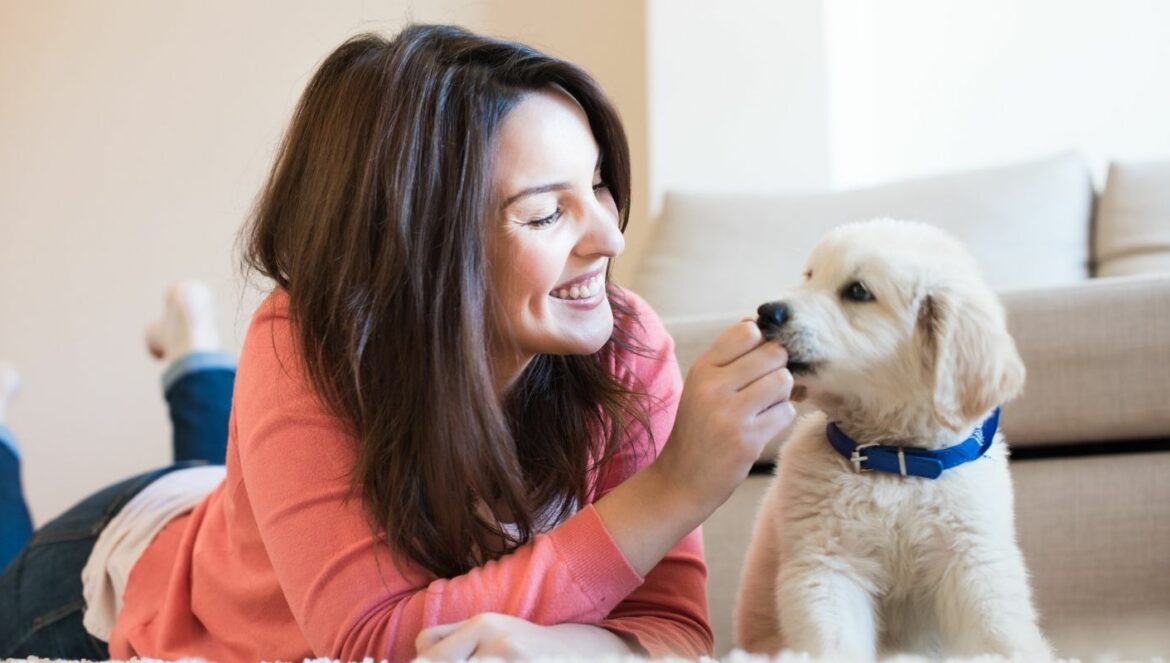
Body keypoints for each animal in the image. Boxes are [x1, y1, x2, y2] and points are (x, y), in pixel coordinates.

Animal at [730, 217, 1053, 659]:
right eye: (810, 276)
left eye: (857, 292)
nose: (766, 312)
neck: (895, 457)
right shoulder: (828, 565)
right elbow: (835, 644)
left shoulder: (973, 561)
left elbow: (998, 636)